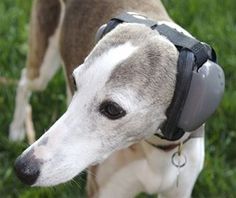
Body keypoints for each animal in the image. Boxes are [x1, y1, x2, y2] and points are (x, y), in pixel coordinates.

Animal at [11, 0, 225, 198]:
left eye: (113, 109)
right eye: (76, 81)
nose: (22, 169)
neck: (157, 150)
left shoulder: (179, 190)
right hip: (41, 68)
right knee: (23, 81)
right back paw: (16, 130)